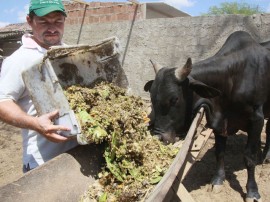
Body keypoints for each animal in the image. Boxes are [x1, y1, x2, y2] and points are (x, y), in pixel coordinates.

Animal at [144, 30, 270, 202]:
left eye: (174, 99)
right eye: (151, 98)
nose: (158, 137)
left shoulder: (257, 118)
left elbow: (249, 158)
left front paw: (252, 192)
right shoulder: (219, 122)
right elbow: (220, 152)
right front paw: (217, 180)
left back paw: (266, 157)